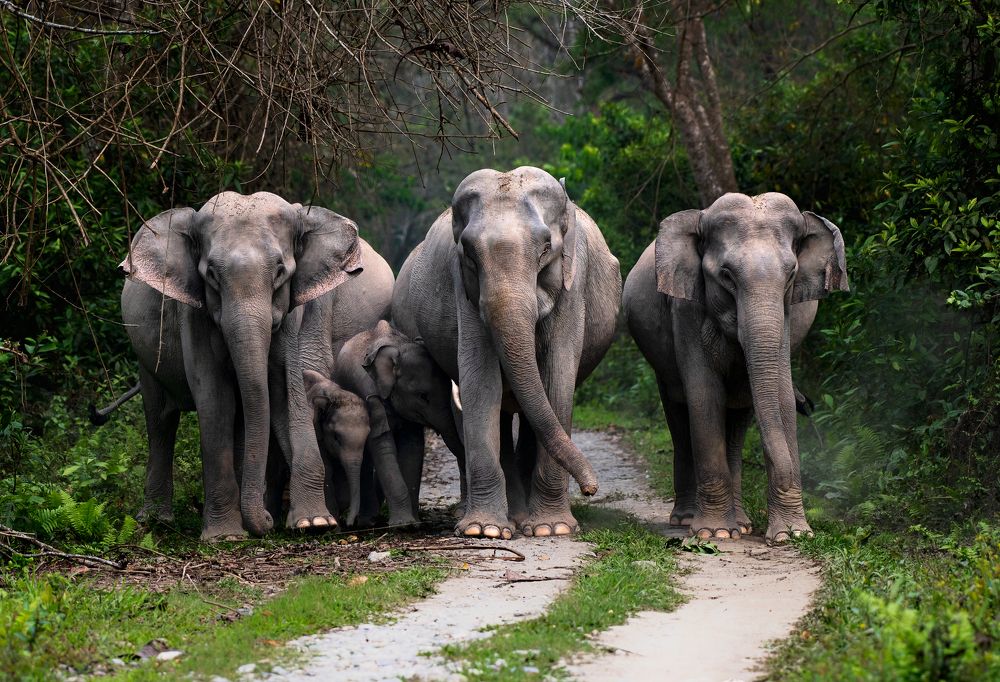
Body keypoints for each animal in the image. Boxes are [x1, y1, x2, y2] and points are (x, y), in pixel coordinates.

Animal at [120, 191, 362, 540]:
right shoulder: (193, 316)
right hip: (145, 355)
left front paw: (314, 523)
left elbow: (286, 390)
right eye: (211, 275)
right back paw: (155, 520)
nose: (269, 518)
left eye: (280, 272)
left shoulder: (290, 316)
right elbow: (216, 400)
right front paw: (225, 536)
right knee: (160, 419)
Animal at [331, 320, 467, 527]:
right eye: (423, 396)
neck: (397, 349)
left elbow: (412, 448)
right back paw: (367, 522)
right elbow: (383, 446)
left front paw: (414, 523)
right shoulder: (369, 395)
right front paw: (403, 524)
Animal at [392, 166, 622, 539]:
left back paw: (527, 518)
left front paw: (552, 529)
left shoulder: (574, 284)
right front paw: (483, 531)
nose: (591, 488)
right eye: (469, 254)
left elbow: (557, 379)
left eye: (546, 248)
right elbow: (480, 380)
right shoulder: (465, 292)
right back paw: (508, 517)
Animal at [623, 192, 849, 543]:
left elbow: (780, 396)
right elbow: (705, 396)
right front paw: (714, 533)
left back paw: (741, 523)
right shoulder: (684, 308)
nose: (809, 405)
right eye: (727, 276)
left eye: (791, 275)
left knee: (738, 420)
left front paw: (793, 534)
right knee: (678, 413)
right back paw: (687, 520)